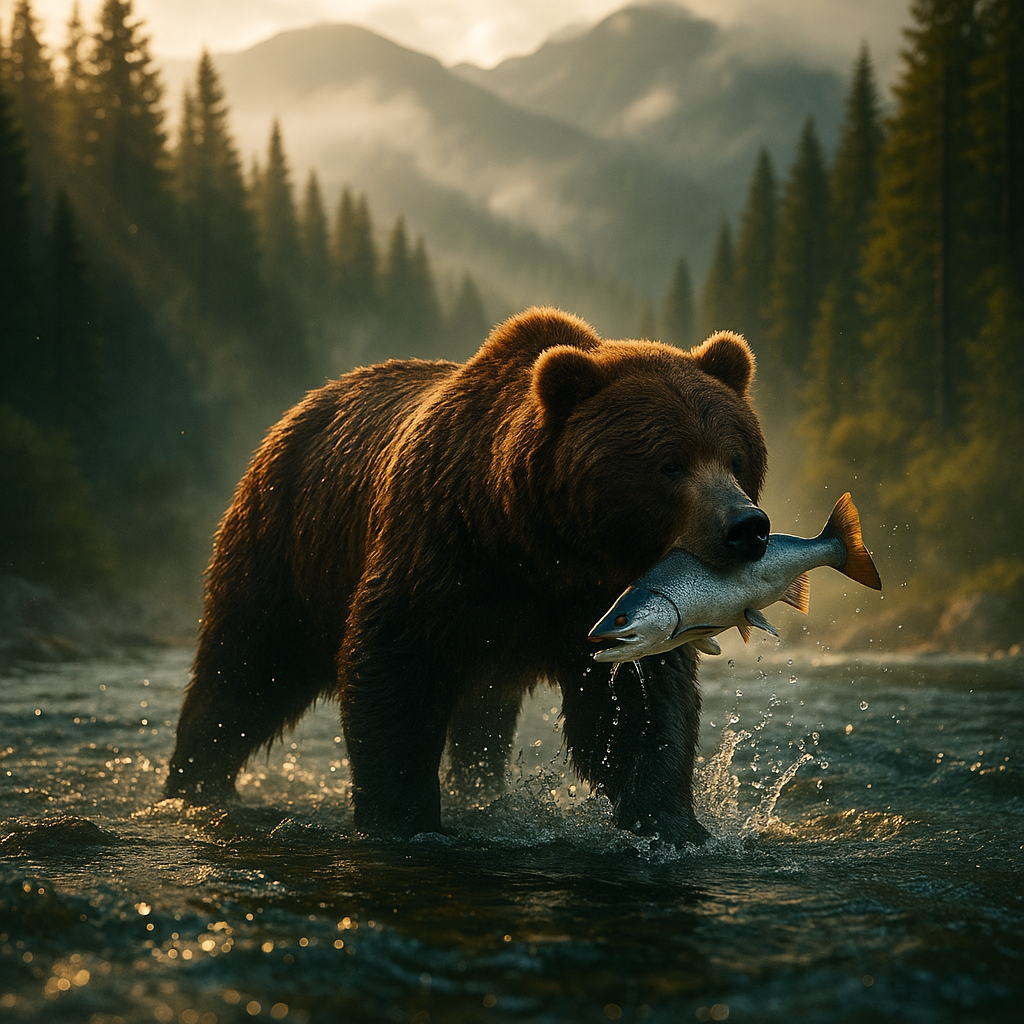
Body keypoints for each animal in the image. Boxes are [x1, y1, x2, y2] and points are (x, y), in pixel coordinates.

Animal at [165, 307, 769, 844]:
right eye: (670, 463)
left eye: (735, 458)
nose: (746, 526)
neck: (538, 544)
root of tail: (303, 407)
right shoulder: (441, 553)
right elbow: (395, 670)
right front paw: (406, 820)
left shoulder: (605, 602)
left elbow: (638, 706)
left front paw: (670, 824)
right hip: (287, 542)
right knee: (246, 666)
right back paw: (193, 785)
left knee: (482, 717)